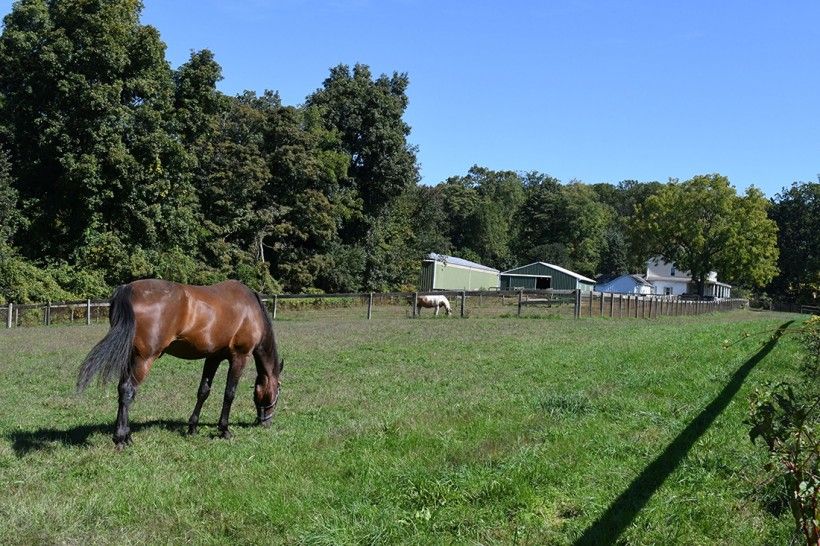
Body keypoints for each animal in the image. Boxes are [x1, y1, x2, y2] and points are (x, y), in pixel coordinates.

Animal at [77, 278, 282, 448]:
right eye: (278, 391)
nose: (266, 422)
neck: (251, 309)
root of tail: (127, 289)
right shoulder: (240, 356)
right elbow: (229, 394)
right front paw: (224, 430)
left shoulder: (213, 357)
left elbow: (203, 391)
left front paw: (192, 427)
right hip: (144, 359)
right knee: (128, 390)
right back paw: (121, 439)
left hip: (131, 357)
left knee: (122, 390)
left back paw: (126, 436)